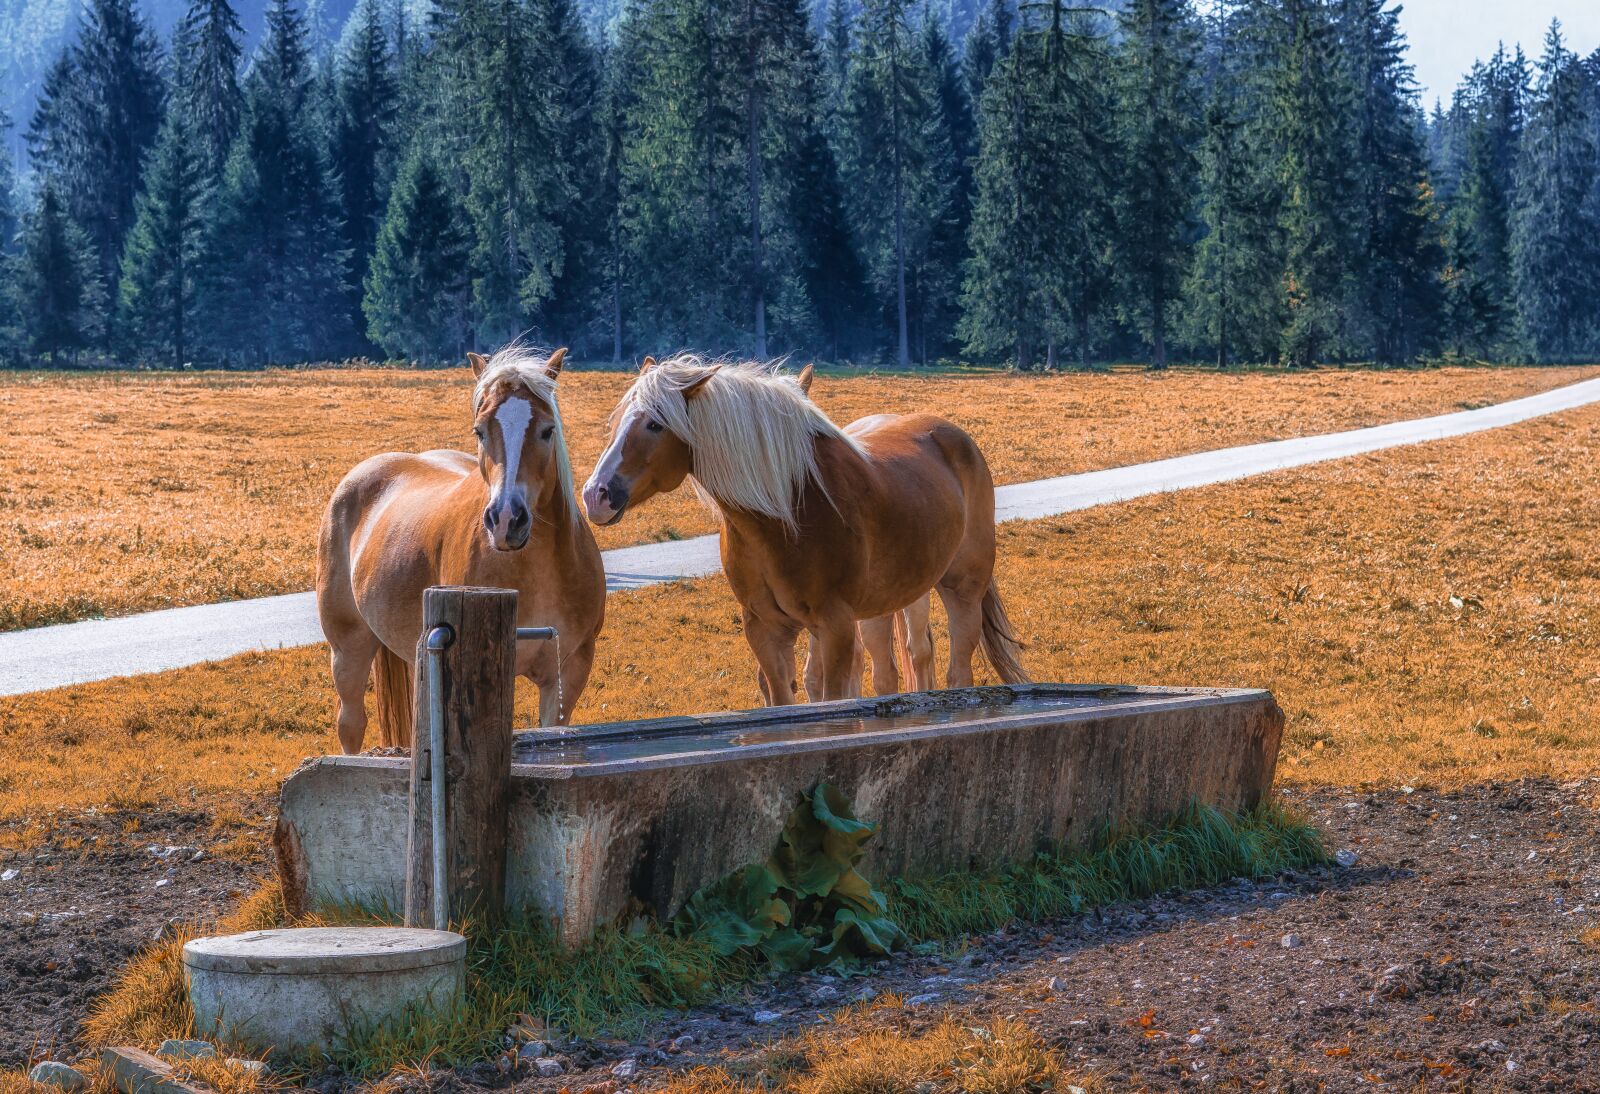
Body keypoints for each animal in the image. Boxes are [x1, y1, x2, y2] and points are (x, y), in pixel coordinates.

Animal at [313, 345, 604, 748]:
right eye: (480, 431)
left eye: (548, 430)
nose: (506, 519)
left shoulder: (568, 672)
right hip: (348, 650)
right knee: (351, 724)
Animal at [582, 355, 1030, 703]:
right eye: (619, 421)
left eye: (655, 425)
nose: (595, 495)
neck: (783, 513)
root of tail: (954, 436)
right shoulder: (766, 630)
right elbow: (787, 700)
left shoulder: (835, 627)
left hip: (961, 591)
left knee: (954, 671)